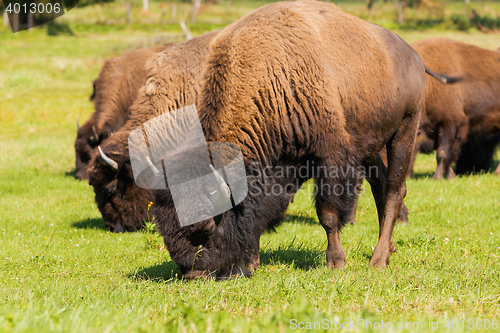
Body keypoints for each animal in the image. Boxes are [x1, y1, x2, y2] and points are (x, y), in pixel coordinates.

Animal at [152, 0, 426, 278]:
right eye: (166, 233)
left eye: (208, 228)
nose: (194, 274)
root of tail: (412, 55)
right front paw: (252, 261)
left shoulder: (331, 157)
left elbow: (327, 213)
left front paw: (335, 261)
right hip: (370, 145)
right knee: (380, 186)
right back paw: (389, 249)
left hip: (405, 129)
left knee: (394, 190)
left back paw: (378, 259)